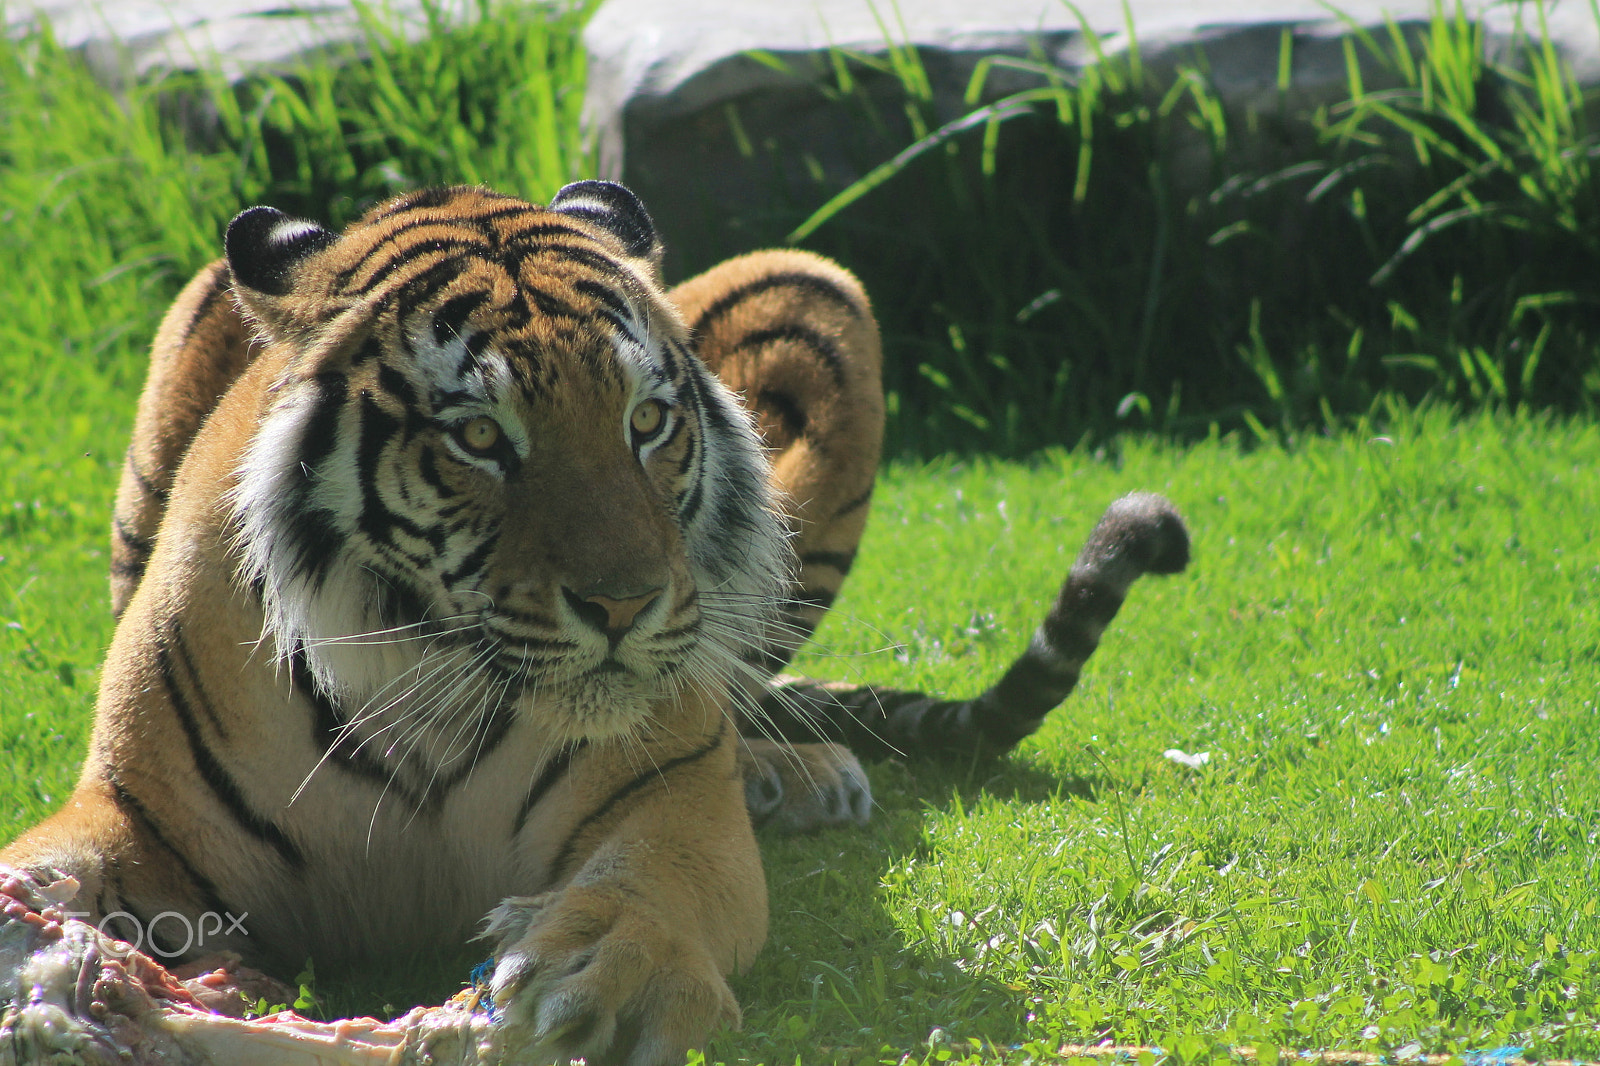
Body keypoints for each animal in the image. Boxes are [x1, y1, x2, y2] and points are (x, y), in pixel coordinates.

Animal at [0, 181, 1189, 1065]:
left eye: (647, 421)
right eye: (481, 437)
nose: (625, 604)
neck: (425, 687)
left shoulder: (667, 798)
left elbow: (654, 884)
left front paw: (605, 972)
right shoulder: (141, 815)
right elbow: (61, 855)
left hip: (815, 298)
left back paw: (790, 772)